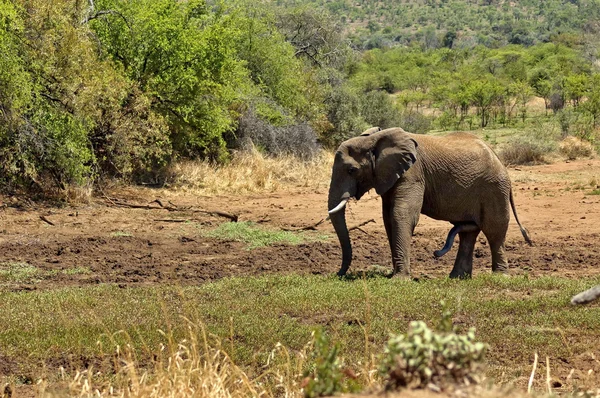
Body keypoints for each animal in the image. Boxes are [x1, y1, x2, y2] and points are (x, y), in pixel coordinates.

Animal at [326, 126, 532, 276]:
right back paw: (457, 278)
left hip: (494, 188)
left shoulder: (413, 174)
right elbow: (388, 218)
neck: (374, 139)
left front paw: (400, 278)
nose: (338, 274)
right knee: (468, 233)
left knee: (494, 230)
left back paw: (500, 276)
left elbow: (402, 214)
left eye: (352, 170)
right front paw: (396, 274)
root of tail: (499, 159)